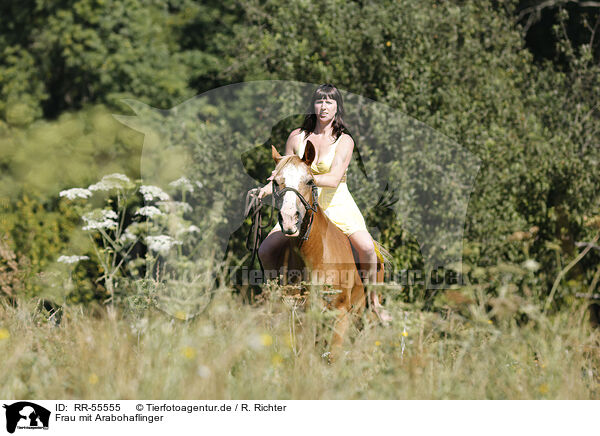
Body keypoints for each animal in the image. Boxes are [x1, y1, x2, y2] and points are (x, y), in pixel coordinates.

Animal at [270, 142, 386, 362]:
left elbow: (334, 356)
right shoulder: (300, 317)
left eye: (309, 181)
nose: (289, 219)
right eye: (275, 182)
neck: (316, 257)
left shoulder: (340, 314)